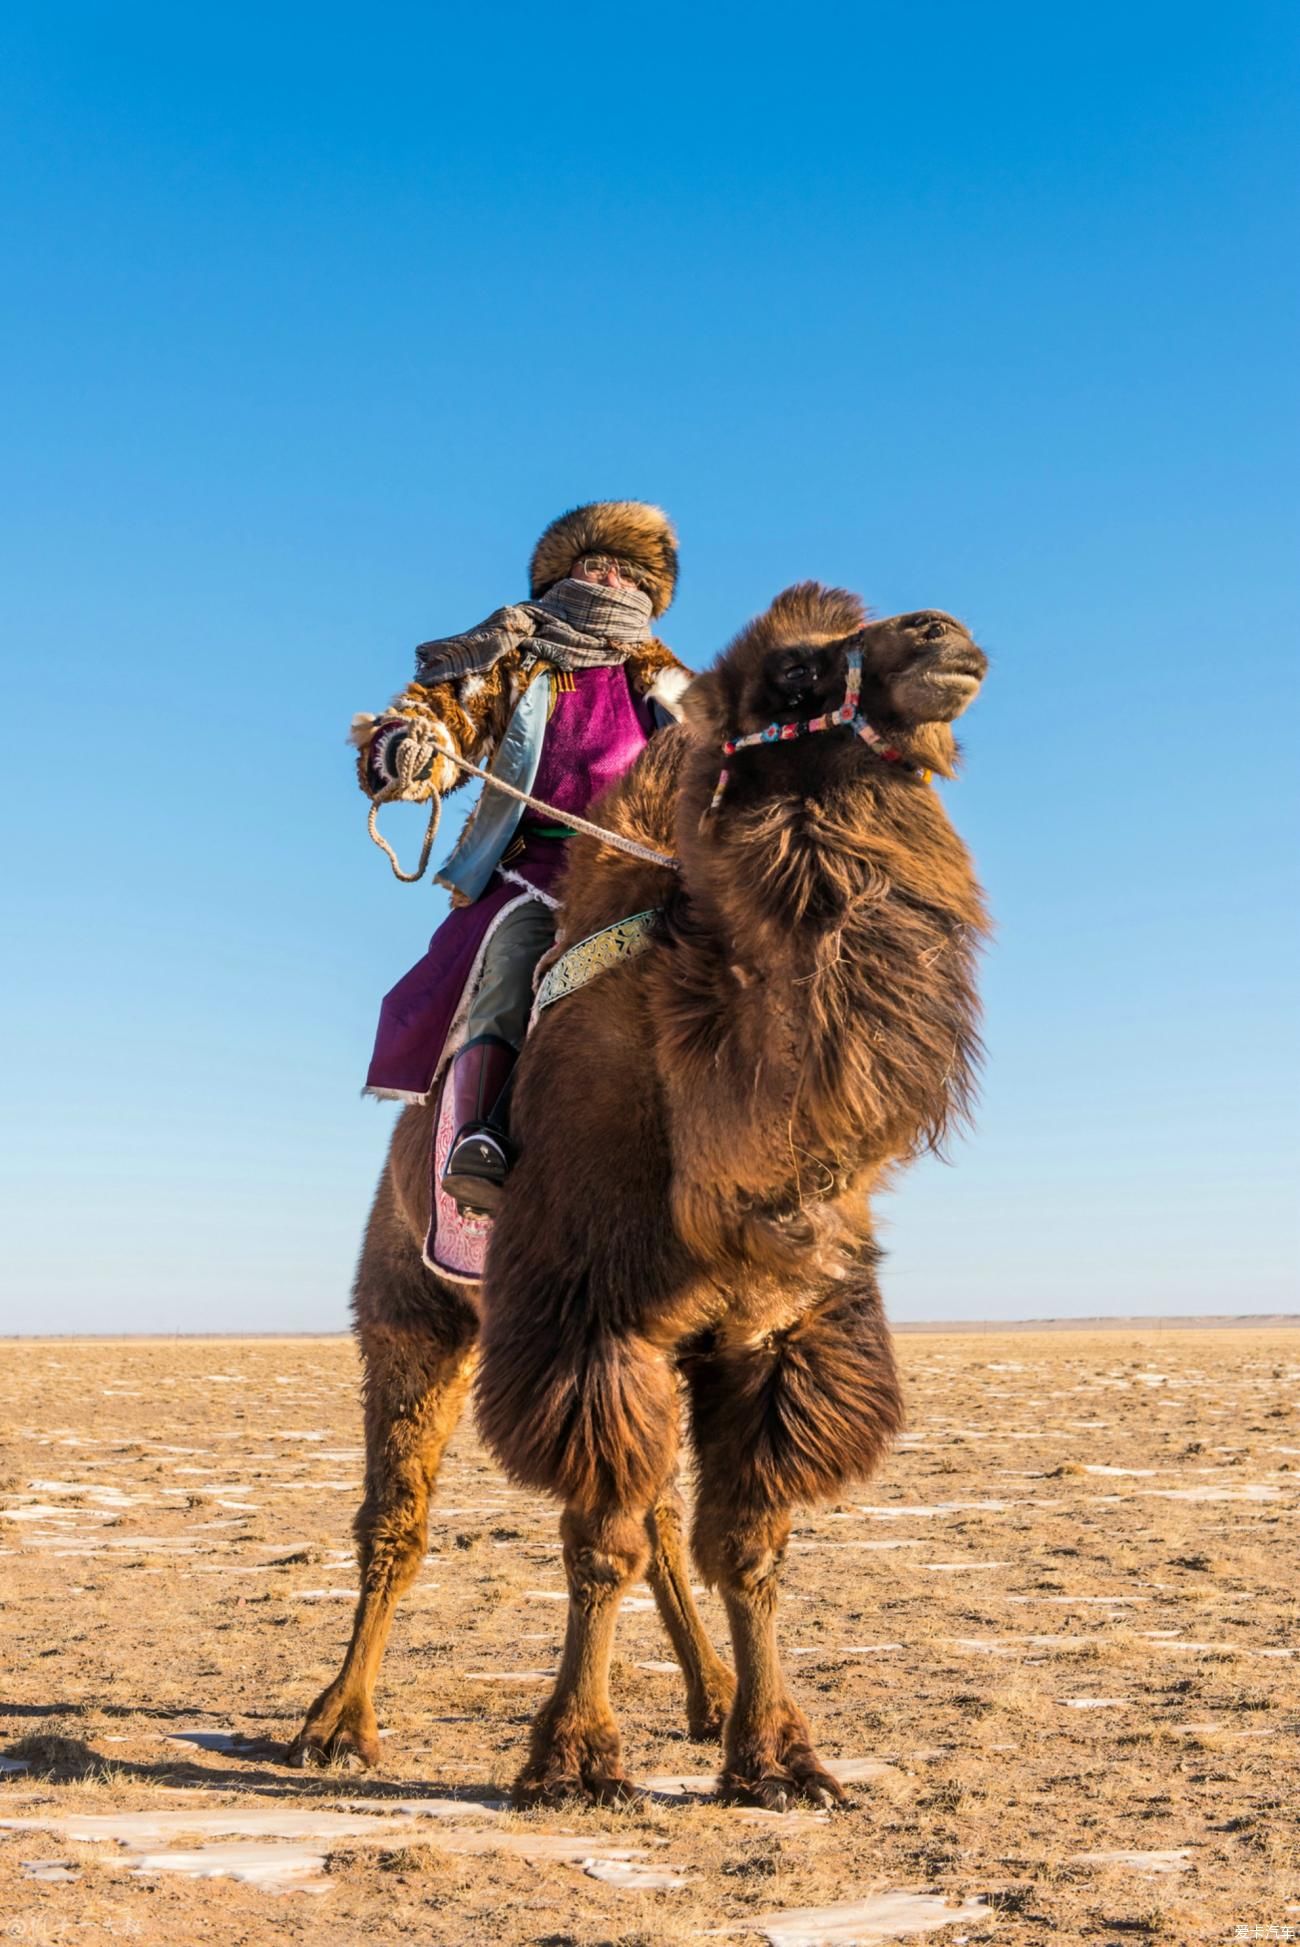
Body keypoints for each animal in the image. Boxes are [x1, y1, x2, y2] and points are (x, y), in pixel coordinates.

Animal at [291, 580, 984, 1806]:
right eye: (796, 673)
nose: (941, 637)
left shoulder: (773, 1335)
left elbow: (747, 1549)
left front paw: (781, 1759)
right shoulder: (589, 1318)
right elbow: (597, 1540)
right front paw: (573, 1760)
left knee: (663, 1519)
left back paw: (708, 1700)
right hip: (410, 1306)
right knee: (400, 1518)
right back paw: (335, 1724)